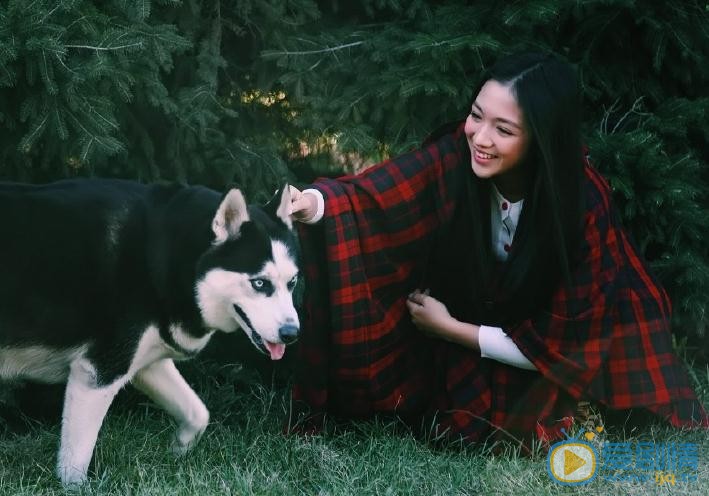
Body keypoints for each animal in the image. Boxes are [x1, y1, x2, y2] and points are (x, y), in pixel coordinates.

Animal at [0, 178, 300, 484]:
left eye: (292, 282)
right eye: (260, 283)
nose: (292, 333)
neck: (163, 257)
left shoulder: (147, 361)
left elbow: (198, 413)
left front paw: (179, 448)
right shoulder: (98, 372)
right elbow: (76, 460)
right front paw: (74, 486)